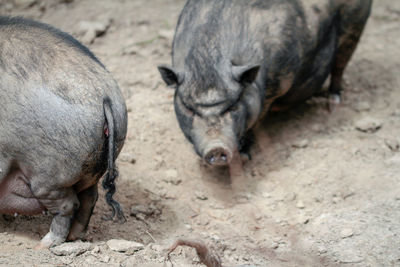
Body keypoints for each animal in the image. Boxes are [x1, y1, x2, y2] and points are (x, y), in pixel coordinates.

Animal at [0, 16, 127, 247]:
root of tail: (104, 95)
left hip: (47, 175)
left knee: (69, 204)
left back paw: (45, 244)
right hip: (89, 169)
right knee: (90, 198)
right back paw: (75, 236)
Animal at [159, 0, 372, 168]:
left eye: (234, 106)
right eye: (189, 109)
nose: (216, 147)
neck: (208, 64)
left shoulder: (277, 85)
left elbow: (257, 121)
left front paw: (245, 157)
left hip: (355, 22)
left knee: (340, 65)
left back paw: (334, 104)